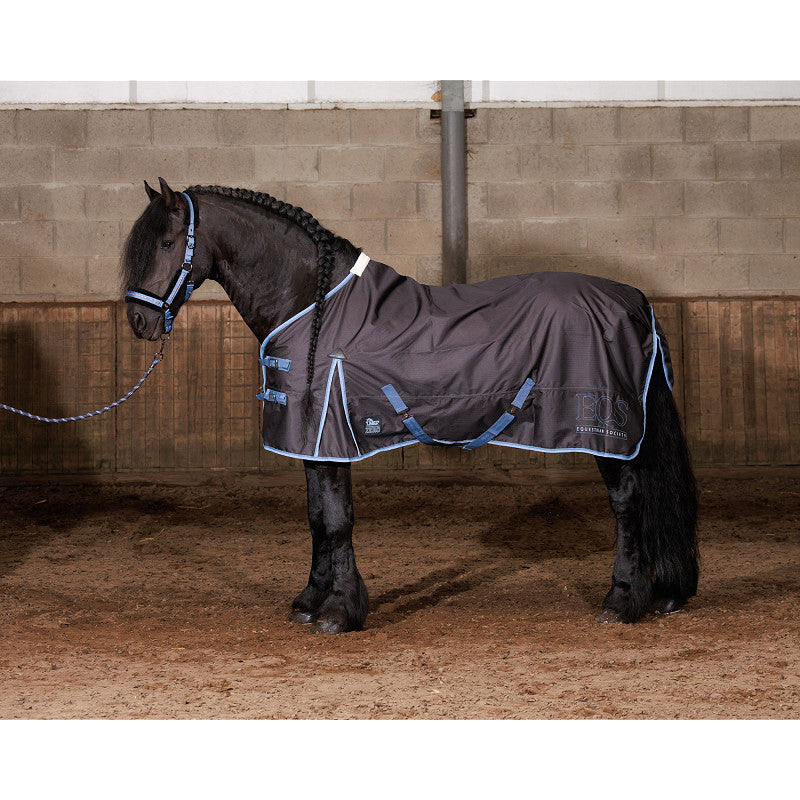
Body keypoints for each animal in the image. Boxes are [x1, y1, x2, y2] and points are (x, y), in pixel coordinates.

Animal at [121, 178, 699, 634]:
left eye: (168, 241)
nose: (138, 323)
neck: (313, 304)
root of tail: (637, 303)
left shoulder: (332, 435)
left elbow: (337, 521)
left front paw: (339, 613)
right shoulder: (311, 440)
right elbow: (316, 518)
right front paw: (309, 602)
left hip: (608, 434)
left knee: (627, 503)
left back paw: (621, 602)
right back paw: (659, 594)